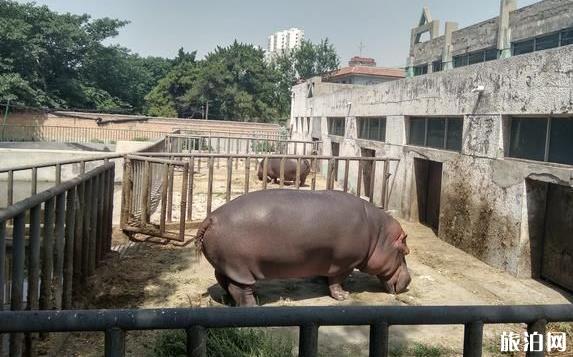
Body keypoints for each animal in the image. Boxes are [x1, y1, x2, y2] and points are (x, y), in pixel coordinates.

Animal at [197, 189, 412, 306]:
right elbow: (337, 280)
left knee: (223, 280)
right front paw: (343, 296)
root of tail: (211, 218)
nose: (409, 280)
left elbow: (328, 276)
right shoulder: (345, 262)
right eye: (405, 251)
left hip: (227, 264)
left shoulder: (328, 258)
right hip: (240, 266)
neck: (378, 235)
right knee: (238, 287)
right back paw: (253, 305)